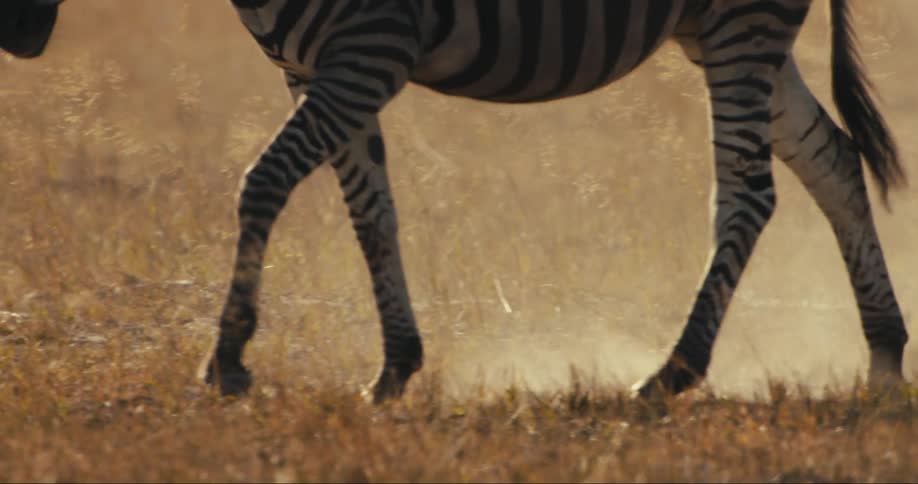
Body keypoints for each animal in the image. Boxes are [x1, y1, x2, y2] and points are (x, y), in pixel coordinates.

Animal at [3, 0, 908, 404]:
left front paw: (227, 358)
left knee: (749, 194)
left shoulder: (366, 52)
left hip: (738, 25)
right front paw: (396, 366)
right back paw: (885, 356)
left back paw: (672, 372)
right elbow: (372, 212)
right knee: (835, 161)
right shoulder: (322, 69)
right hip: (728, 33)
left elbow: (262, 181)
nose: (19, 38)